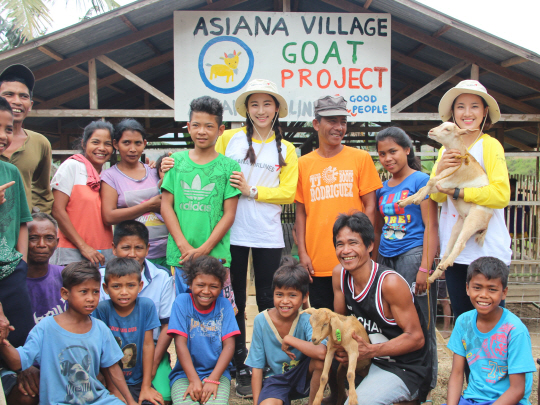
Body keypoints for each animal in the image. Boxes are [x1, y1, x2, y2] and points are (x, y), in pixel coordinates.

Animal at [396, 121, 494, 282]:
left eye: (447, 129)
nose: (431, 131)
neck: (460, 156)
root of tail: (486, 224)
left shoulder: (451, 180)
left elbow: (430, 182)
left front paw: (416, 199)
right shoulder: (443, 179)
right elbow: (425, 186)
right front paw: (406, 201)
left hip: (473, 219)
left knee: (461, 244)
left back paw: (444, 265)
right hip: (459, 225)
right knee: (448, 250)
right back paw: (434, 275)